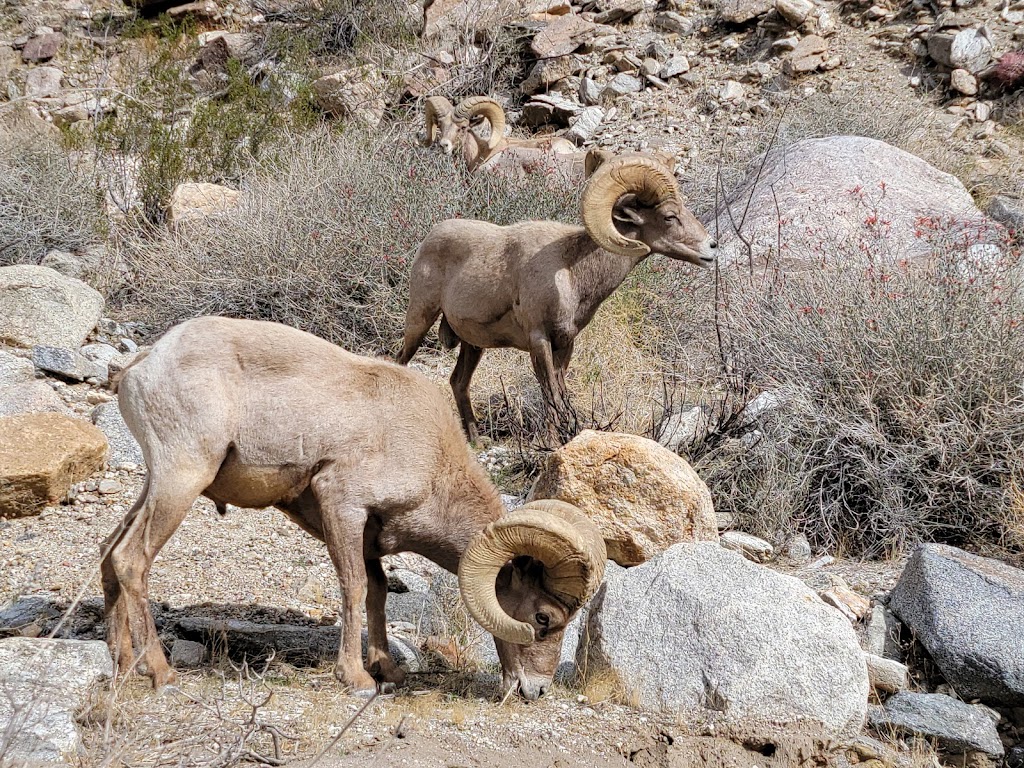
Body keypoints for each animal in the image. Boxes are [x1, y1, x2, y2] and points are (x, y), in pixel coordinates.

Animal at [101, 315, 606, 700]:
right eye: (543, 618)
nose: (535, 690)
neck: (430, 459)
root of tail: (141, 368)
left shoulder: (370, 535)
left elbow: (378, 591)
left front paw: (388, 671)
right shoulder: (343, 506)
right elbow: (355, 589)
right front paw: (358, 679)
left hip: (159, 484)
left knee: (109, 553)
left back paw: (122, 666)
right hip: (182, 479)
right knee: (131, 560)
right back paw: (160, 672)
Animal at [395, 154, 716, 444]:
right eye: (669, 216)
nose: (711, 248)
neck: (572, 272)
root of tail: (430, 237)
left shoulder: (565, 343)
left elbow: (559, 392)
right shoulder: (539, 340)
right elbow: (549, 393)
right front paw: (552, 443)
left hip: (473, 345)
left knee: (458, 383)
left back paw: (476, 441)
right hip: (420, 319)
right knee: (401, 362)